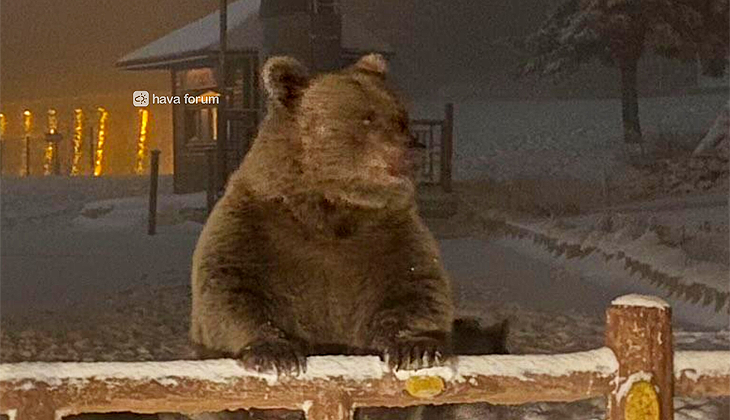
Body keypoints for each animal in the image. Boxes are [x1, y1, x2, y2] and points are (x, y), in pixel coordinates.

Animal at [191, 54, 452, 378]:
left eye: (402, 116)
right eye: (367, 118)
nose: (414, 149)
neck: (329, 209)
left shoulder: (390, 233)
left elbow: (417, 286)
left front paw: (415, 348)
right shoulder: (252, 227)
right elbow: (230, 287)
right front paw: (275, 353)